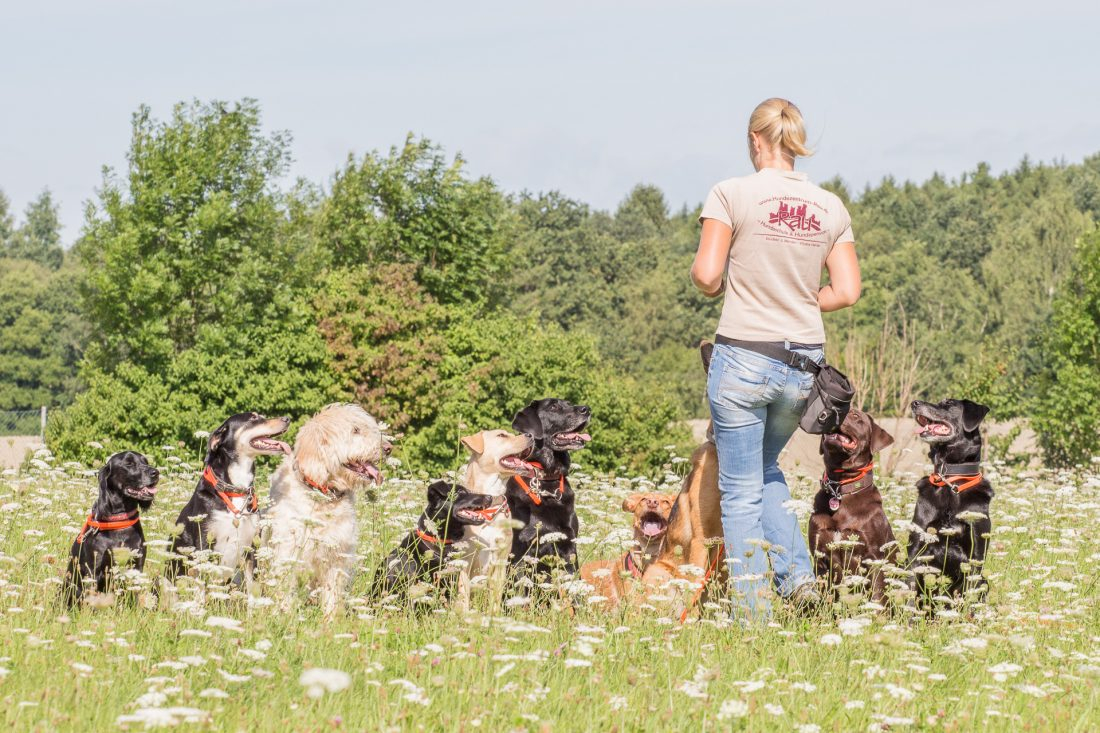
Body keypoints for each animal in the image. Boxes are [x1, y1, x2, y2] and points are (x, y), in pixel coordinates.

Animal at [62, 451, 159, 603]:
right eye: (129, 463)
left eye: (146, 462)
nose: (156, 472)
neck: (120, 521)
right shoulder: (92, 571)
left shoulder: (137, 566)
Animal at [162, 411, 290, 589]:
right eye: (253, 418)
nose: (287, 419)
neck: (235, 490)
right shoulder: (205, 544)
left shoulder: (251, 547)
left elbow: (252, 587)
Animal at [508, 396, 594, 585]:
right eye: (554, 407)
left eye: (569, 404)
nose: (587, 409)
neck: (546, 479)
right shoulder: (520, 552)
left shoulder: (569, 546)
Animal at [906, 396, 994, 603]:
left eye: (948, 403)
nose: (914, 403)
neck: (950, 482)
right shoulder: (916, 550)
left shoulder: (975, 555)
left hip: (984, 581)